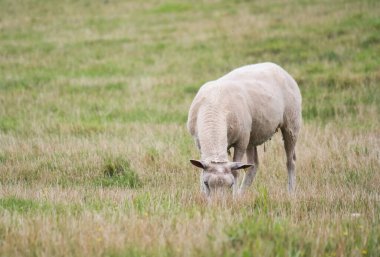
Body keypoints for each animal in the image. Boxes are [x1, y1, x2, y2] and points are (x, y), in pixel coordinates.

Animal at [188, 62, 302, 196]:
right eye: (206, 183)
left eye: (231, 184)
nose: (218, 202)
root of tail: (277, 67)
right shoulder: (199, 144)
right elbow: (202, 171)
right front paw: (204, 195)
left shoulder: (241, 142)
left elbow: (236, 172)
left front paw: (233, 197)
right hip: (252, 135)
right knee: (253, 165)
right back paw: (241, 194)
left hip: (291, 124)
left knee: (291, 161)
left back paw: (291, 192)